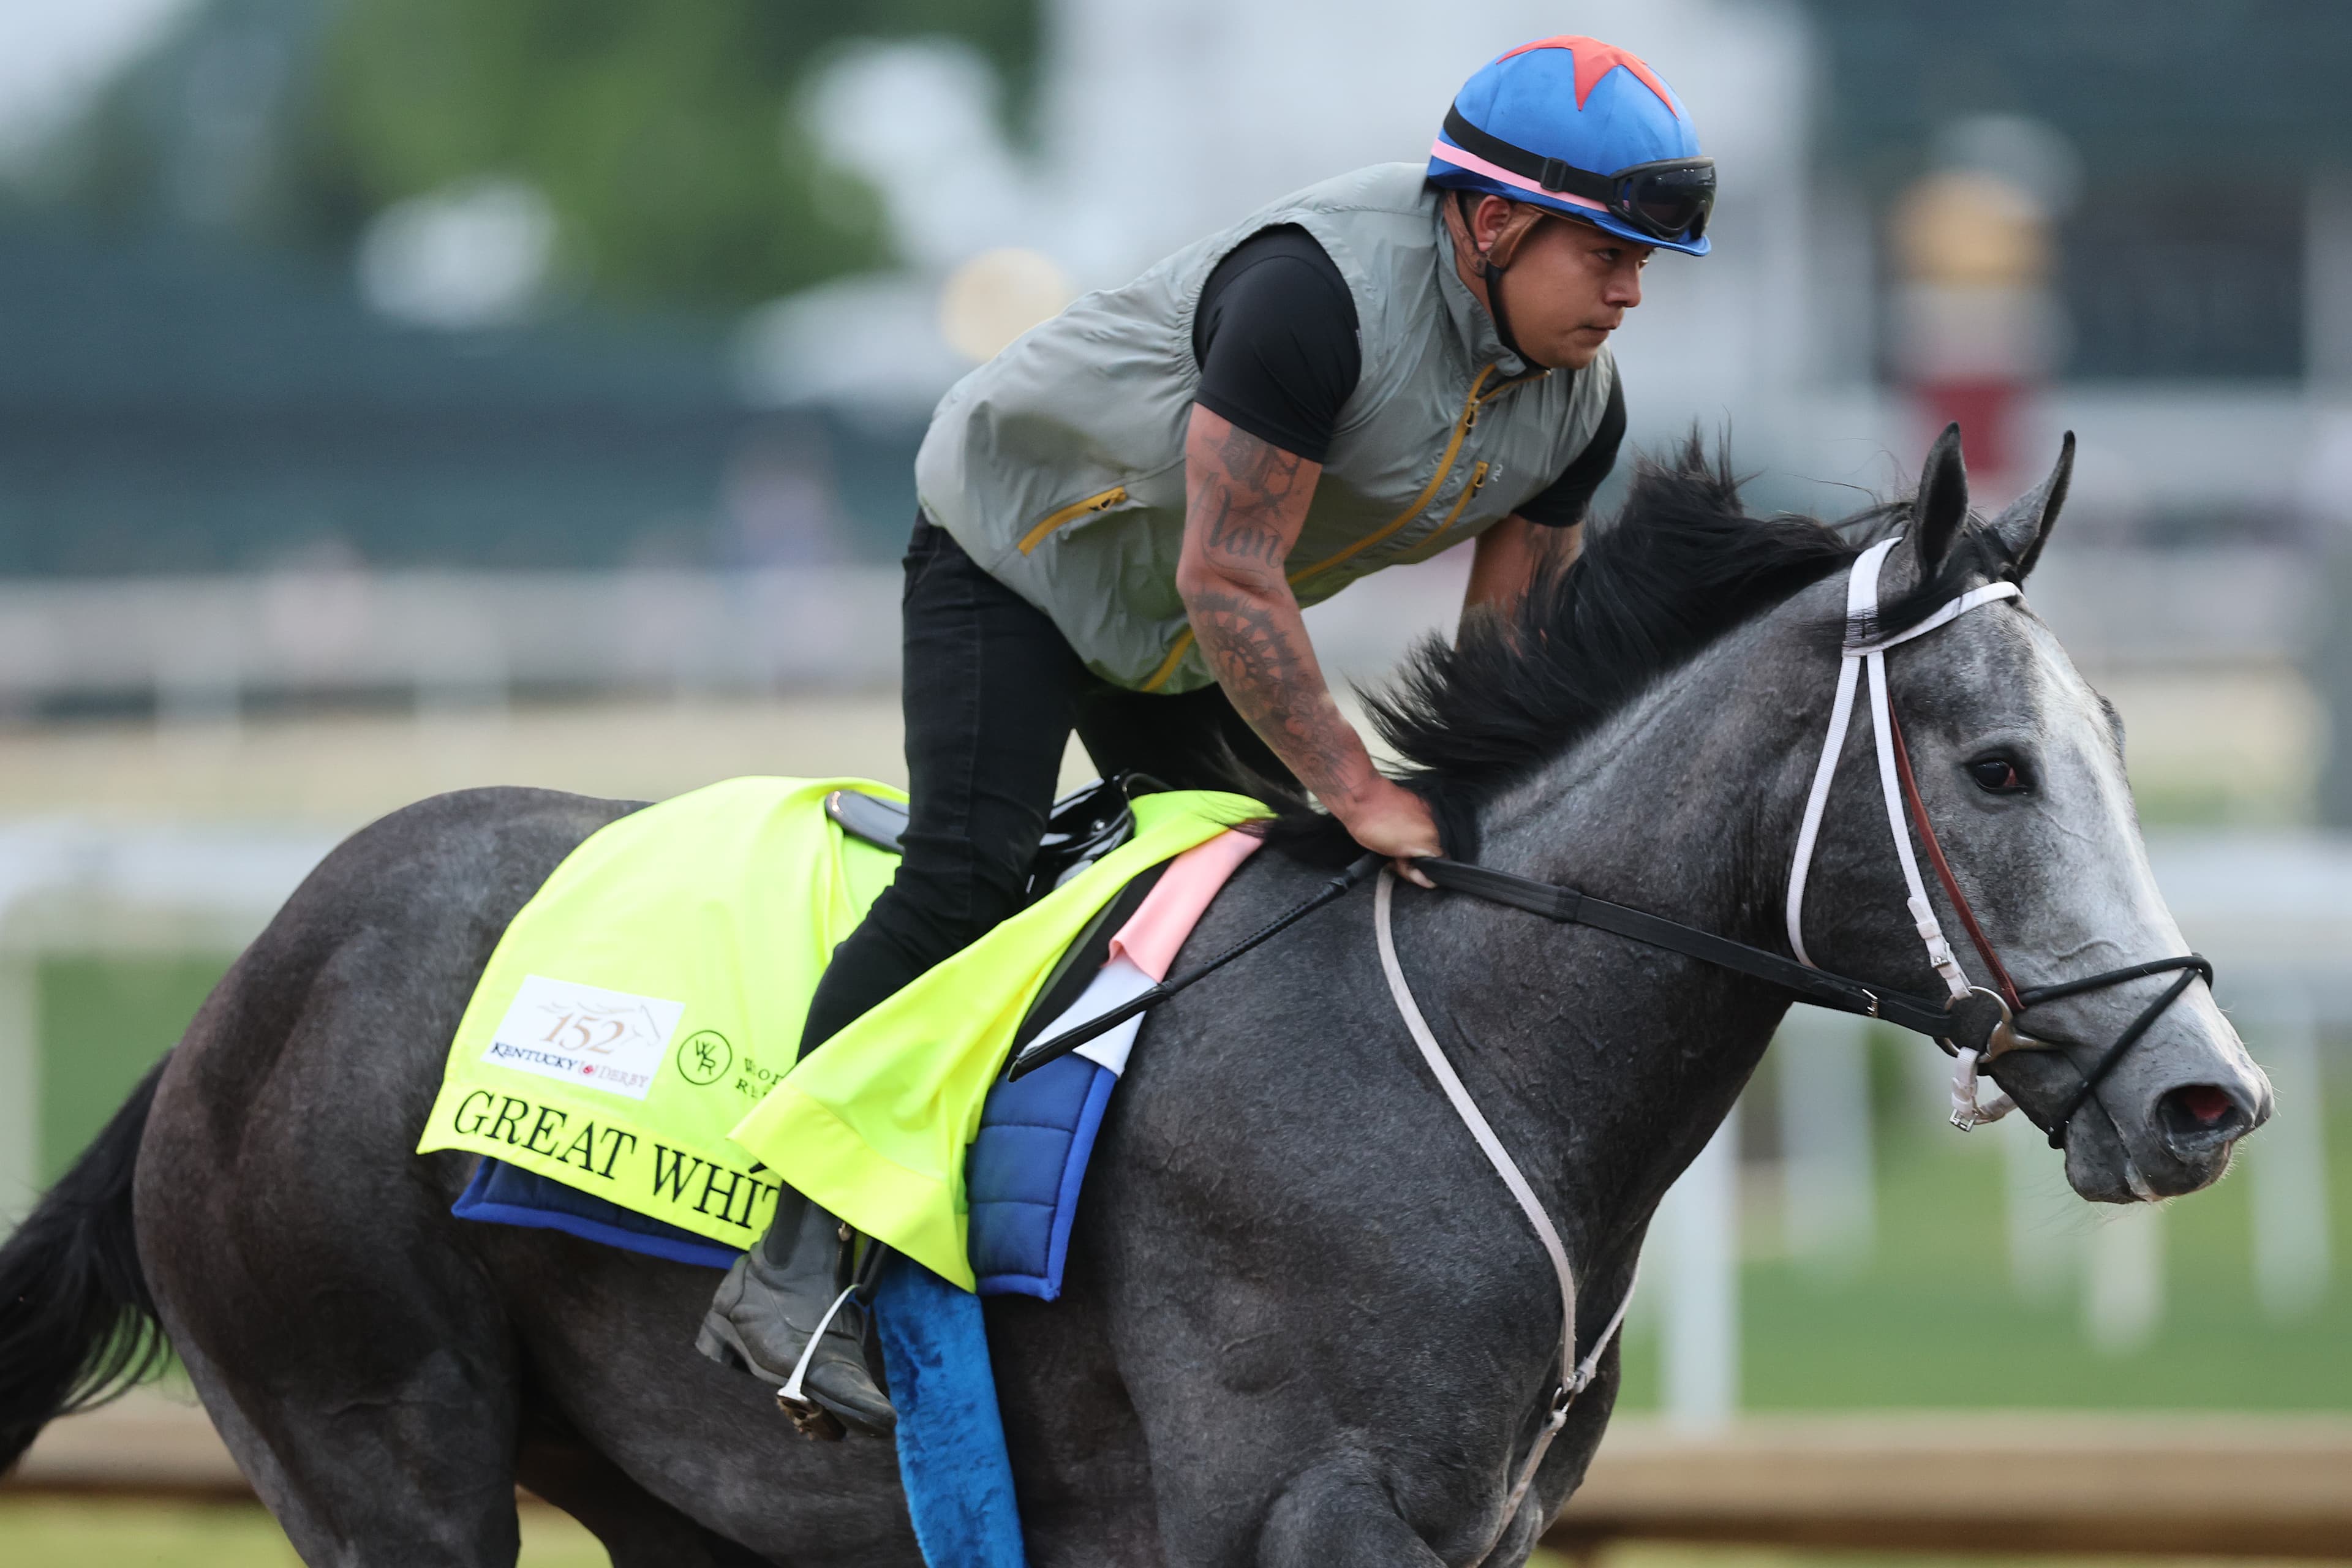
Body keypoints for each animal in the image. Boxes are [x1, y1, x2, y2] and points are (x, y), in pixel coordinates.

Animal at [1, 430, 2269, 1566]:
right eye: (2000, 767)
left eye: (2118, 739)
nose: (2206, 1098)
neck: (1468, 1045)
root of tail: (230, 1002)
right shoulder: (1303, 1517)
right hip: (383, 1452)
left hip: (688, 1507)